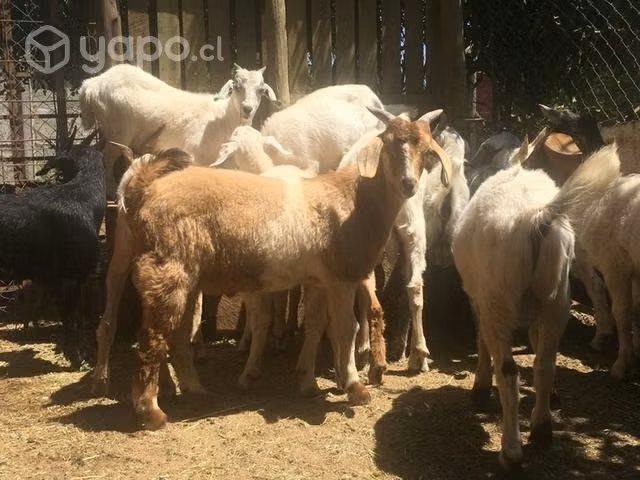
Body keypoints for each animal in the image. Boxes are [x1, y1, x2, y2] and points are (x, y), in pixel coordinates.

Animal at [107, 109, 451, 429]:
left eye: (426, 150)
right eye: (389, 145)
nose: (408, 184)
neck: (361, 201)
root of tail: (144, 190)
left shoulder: (319, 280)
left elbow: (315, 325)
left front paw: (307, 381)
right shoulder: (340, 277)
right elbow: (346, 328)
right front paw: (355, 387)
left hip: (186, 273)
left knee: (177, 335)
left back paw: (195, 390)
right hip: (167, 266)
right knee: (153, 335)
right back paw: (151, 411)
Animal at [452, 141, 619, 470]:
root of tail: (537, 218)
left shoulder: (478, 299)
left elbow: (480, 341)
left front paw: (480, 388)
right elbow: (534, 340)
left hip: (499, 298)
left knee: (509, 372)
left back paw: (511, 452)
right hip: (557, 298)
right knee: (545, 363)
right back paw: (542, 429)